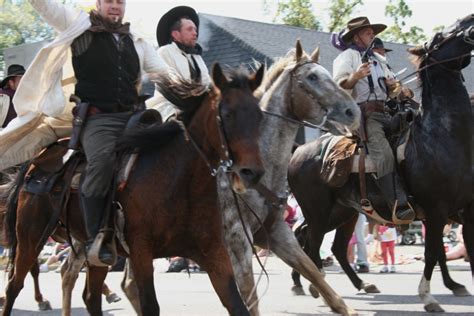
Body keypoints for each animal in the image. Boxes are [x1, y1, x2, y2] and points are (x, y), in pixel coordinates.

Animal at [1, 63, 264, 314]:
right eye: (227, 114)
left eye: (259, 115)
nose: (252, 172)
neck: (179, 181)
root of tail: (37, 159)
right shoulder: (141, 253)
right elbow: (149, 306)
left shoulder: (214, 253)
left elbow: (238, 305)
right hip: (31, 237)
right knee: (15, 285)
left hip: (94, 253)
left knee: (90, 296)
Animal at [286, 13, 474, 312]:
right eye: (440, 37)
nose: (470, 19)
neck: (442, 137)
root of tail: (298, 152)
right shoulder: (436, 210)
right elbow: (433, 252)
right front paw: (428, 296)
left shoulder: (465, 210)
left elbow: (448, 250)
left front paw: (453, 286)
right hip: (319, 211)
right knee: (310, 243)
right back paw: (319, 290)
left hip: (344, 212)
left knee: (331, 246)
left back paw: (357, 284)